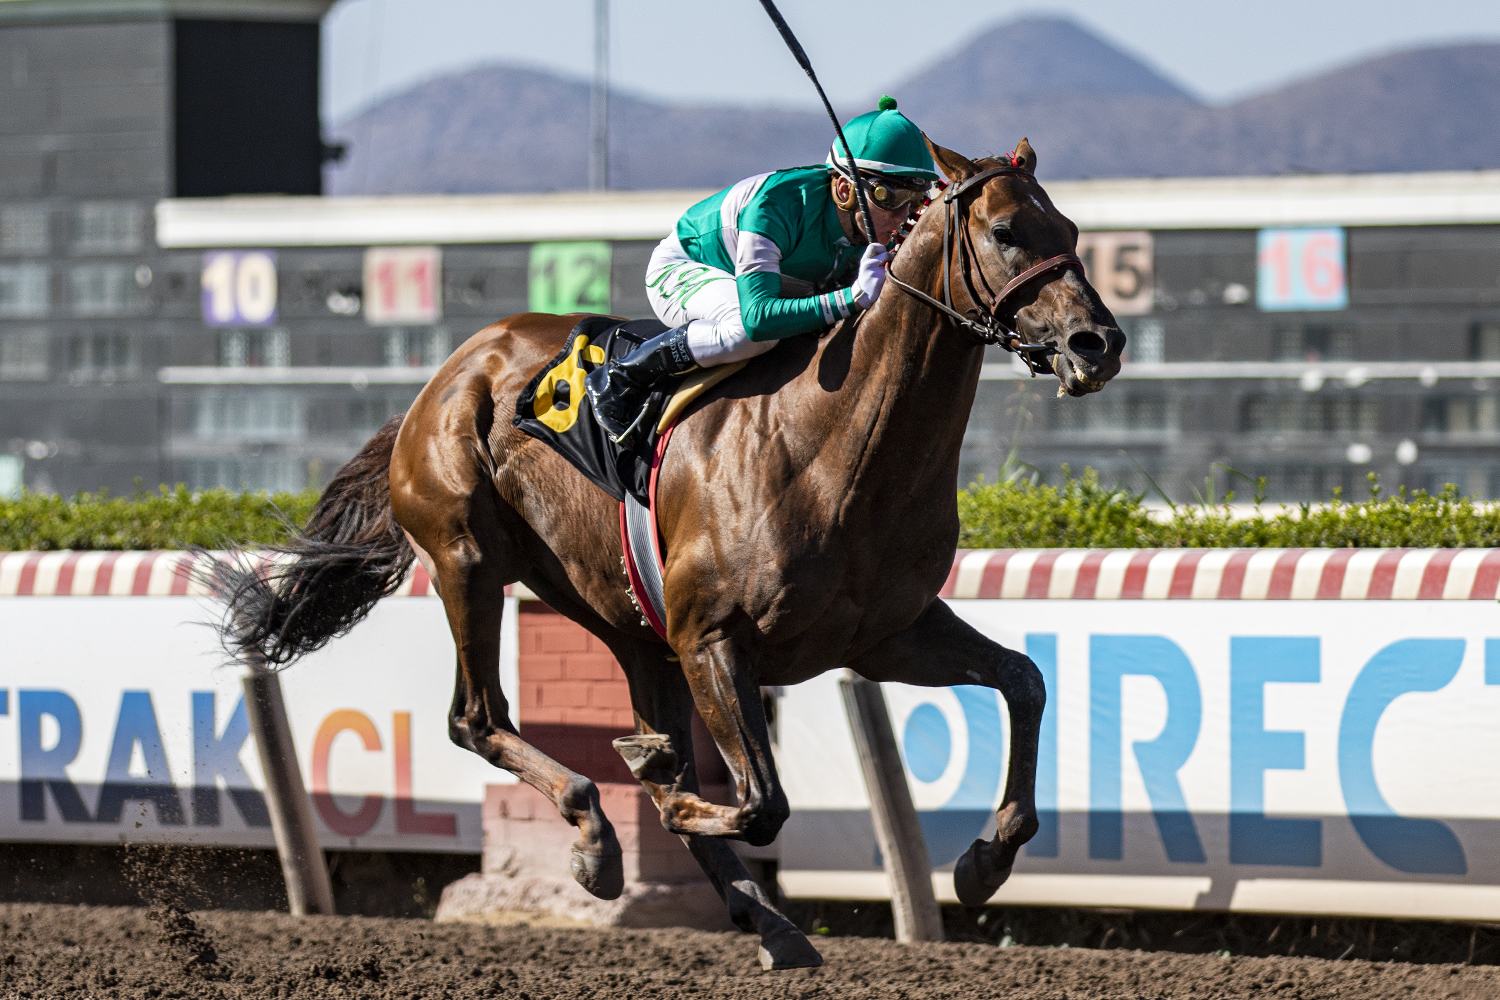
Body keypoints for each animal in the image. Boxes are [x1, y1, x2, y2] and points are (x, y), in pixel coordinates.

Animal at [210, 136, 1124, 969]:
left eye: (1069, 227)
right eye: (1005, 231)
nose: (1098, 342)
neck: (837, 447)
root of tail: (445, 375)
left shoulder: (882, 633)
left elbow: (1024, 679)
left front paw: (985, 860)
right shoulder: (714, 640)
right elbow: (757, 801)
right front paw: (660, 790)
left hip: (628, 624)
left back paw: (770, 919)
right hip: (469, 560)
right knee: (477, 716)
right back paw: (597, 832)